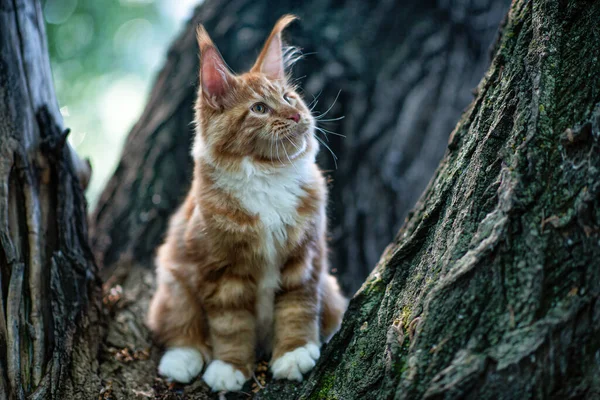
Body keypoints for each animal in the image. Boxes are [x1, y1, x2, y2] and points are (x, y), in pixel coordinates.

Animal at [146, 14, 350, 390]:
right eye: (259, 109)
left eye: (289, 98)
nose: (296, 116)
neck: (268, 177)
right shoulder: (220, 273)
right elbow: (230, 328)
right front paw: (230, 367)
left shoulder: (305, 260)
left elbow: (298, 309)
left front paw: (294, 352)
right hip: (174, 280)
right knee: (180, 327)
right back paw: (181, 359)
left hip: (329, 289)